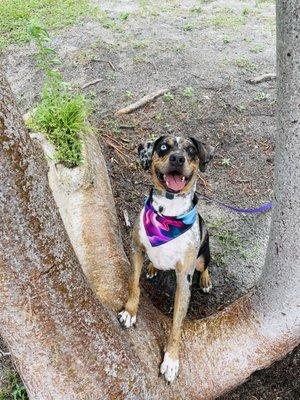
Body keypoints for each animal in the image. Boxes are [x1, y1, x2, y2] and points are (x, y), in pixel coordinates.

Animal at [117, 136, 213, 382]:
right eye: (163, 147)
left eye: (190, 150)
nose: (178, 158)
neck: (168, 215)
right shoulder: (137, 249)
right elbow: (133, 284)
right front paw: (130, 312)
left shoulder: (184, 279)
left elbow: (177, 324)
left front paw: (171, 360)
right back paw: (152, 267)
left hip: (202, 254)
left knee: (205, 264)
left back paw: (206, 280)